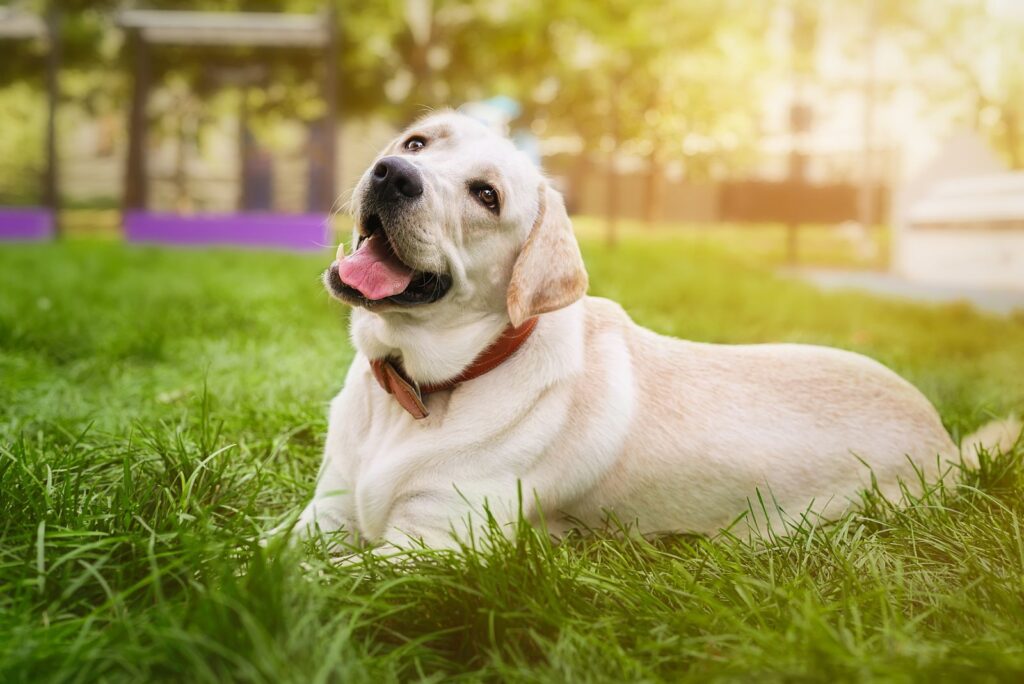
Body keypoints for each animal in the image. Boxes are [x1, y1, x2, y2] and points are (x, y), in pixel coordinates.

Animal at [296, 112, 1015, 548]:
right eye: (416, 142)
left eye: (486, 196)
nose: (394, 173)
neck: (421, 387)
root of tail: (946, 441)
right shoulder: (322, 515)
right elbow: (275, 556)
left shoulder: (430, 546)